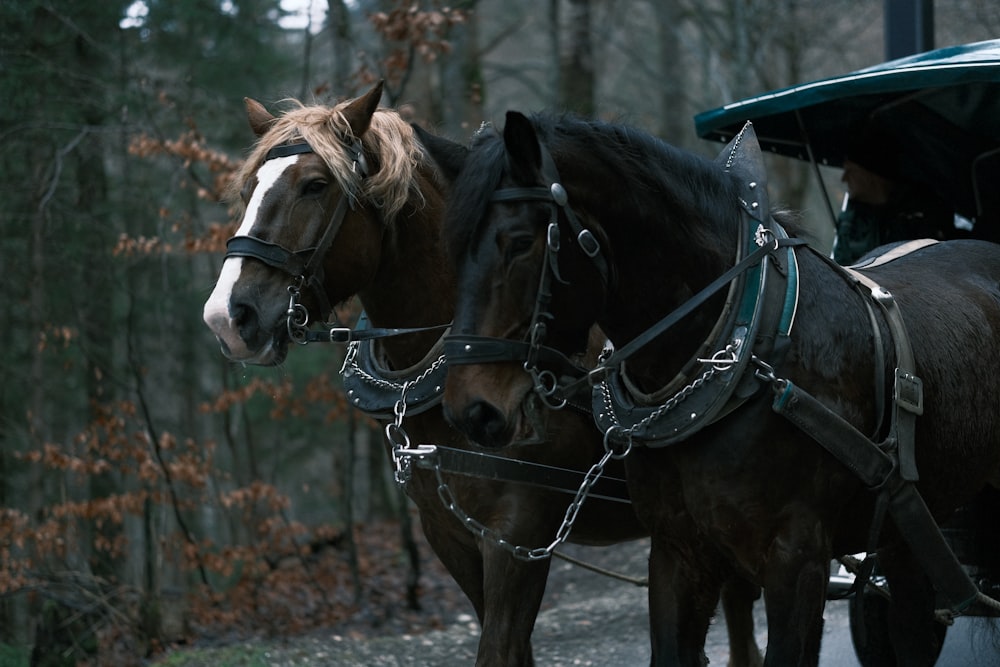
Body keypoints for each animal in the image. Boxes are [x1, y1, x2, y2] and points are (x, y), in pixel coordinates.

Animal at [418, 112, 1000, 664]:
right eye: (450, 250)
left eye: (519, 243)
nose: (470, 410)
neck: (745, 353)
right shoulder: (678, 552)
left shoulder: (797, 560)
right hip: (910, 530)